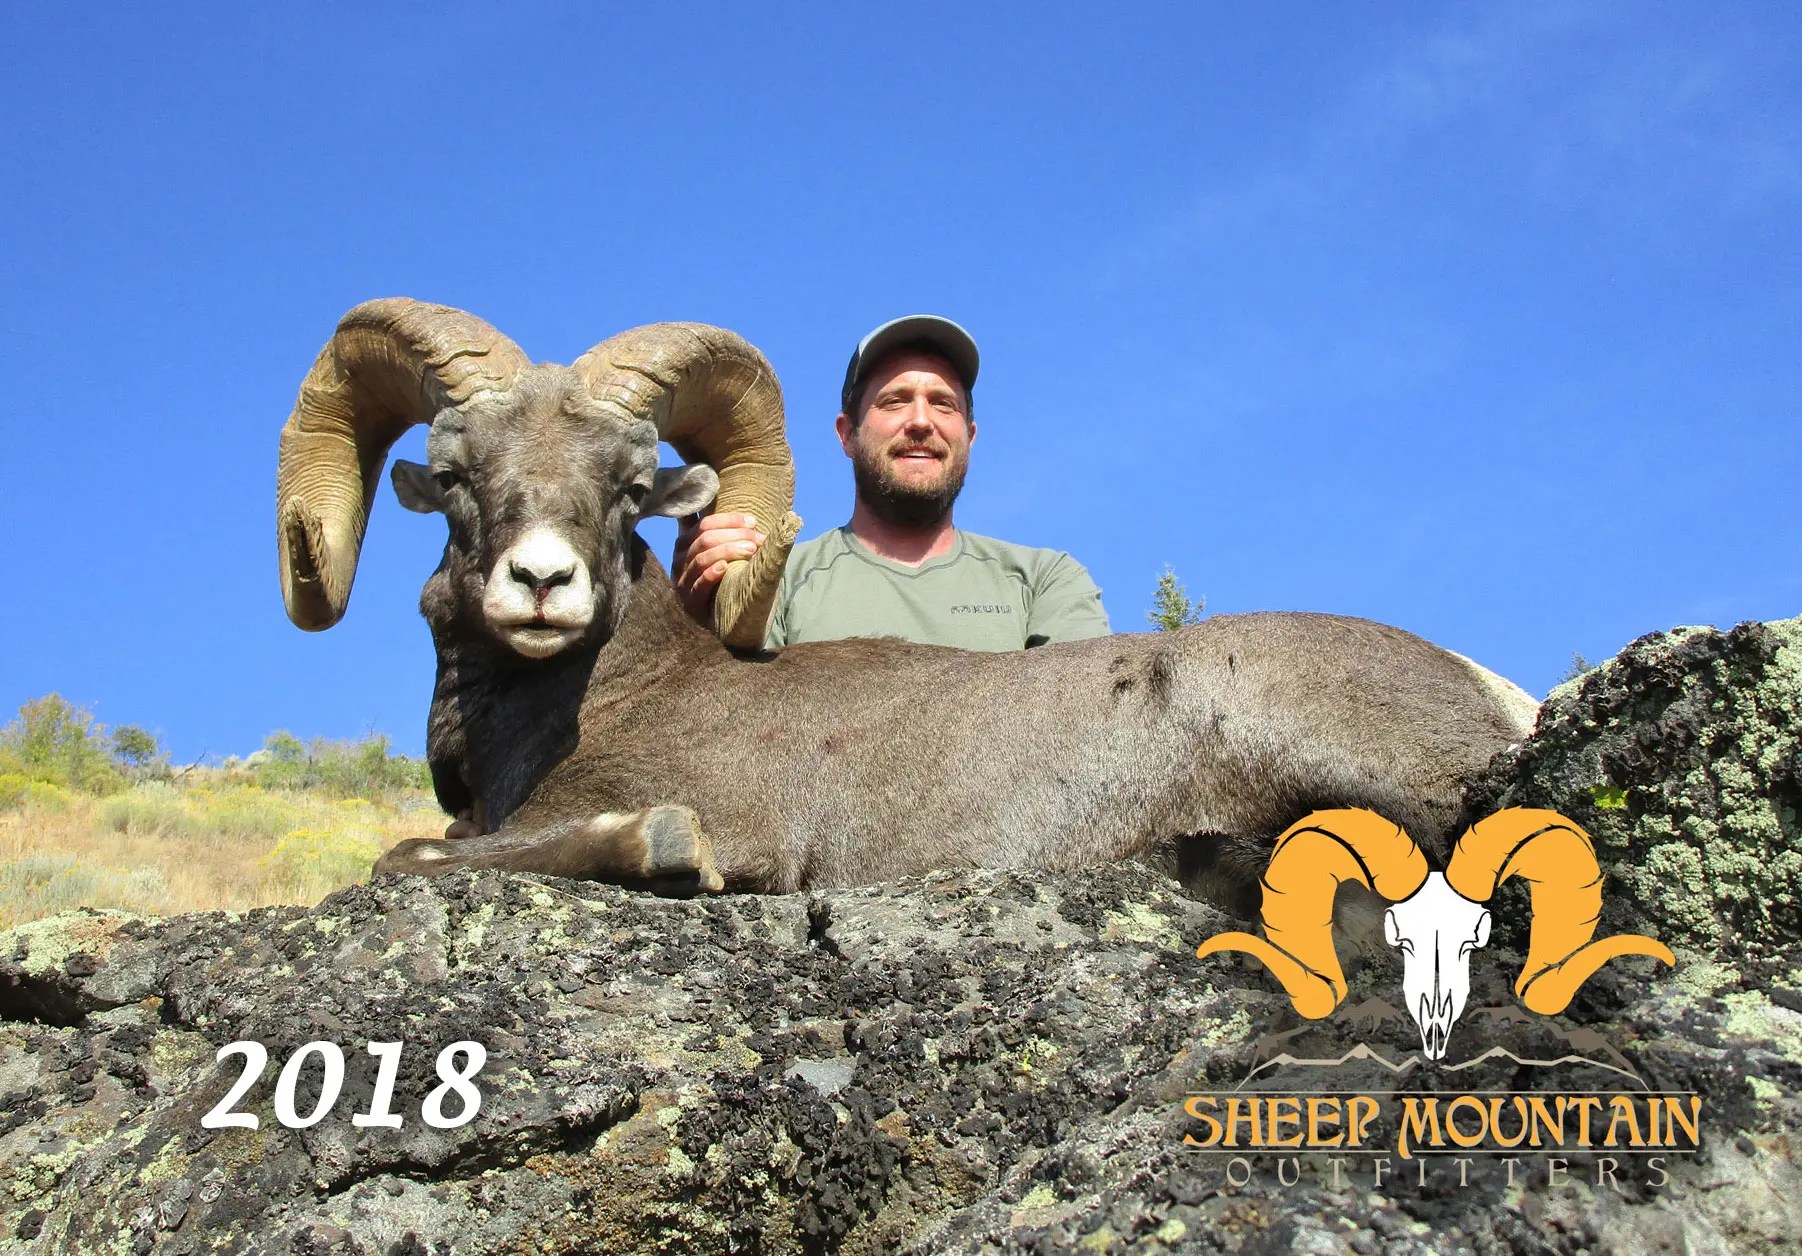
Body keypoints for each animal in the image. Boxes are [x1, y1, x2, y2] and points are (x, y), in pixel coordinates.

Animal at [275, 299, 1540, 901]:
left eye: (630, 483)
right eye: (454, 474)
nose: (541, 583)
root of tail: (1494, 691)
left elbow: (410, 856)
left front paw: (670, 845)